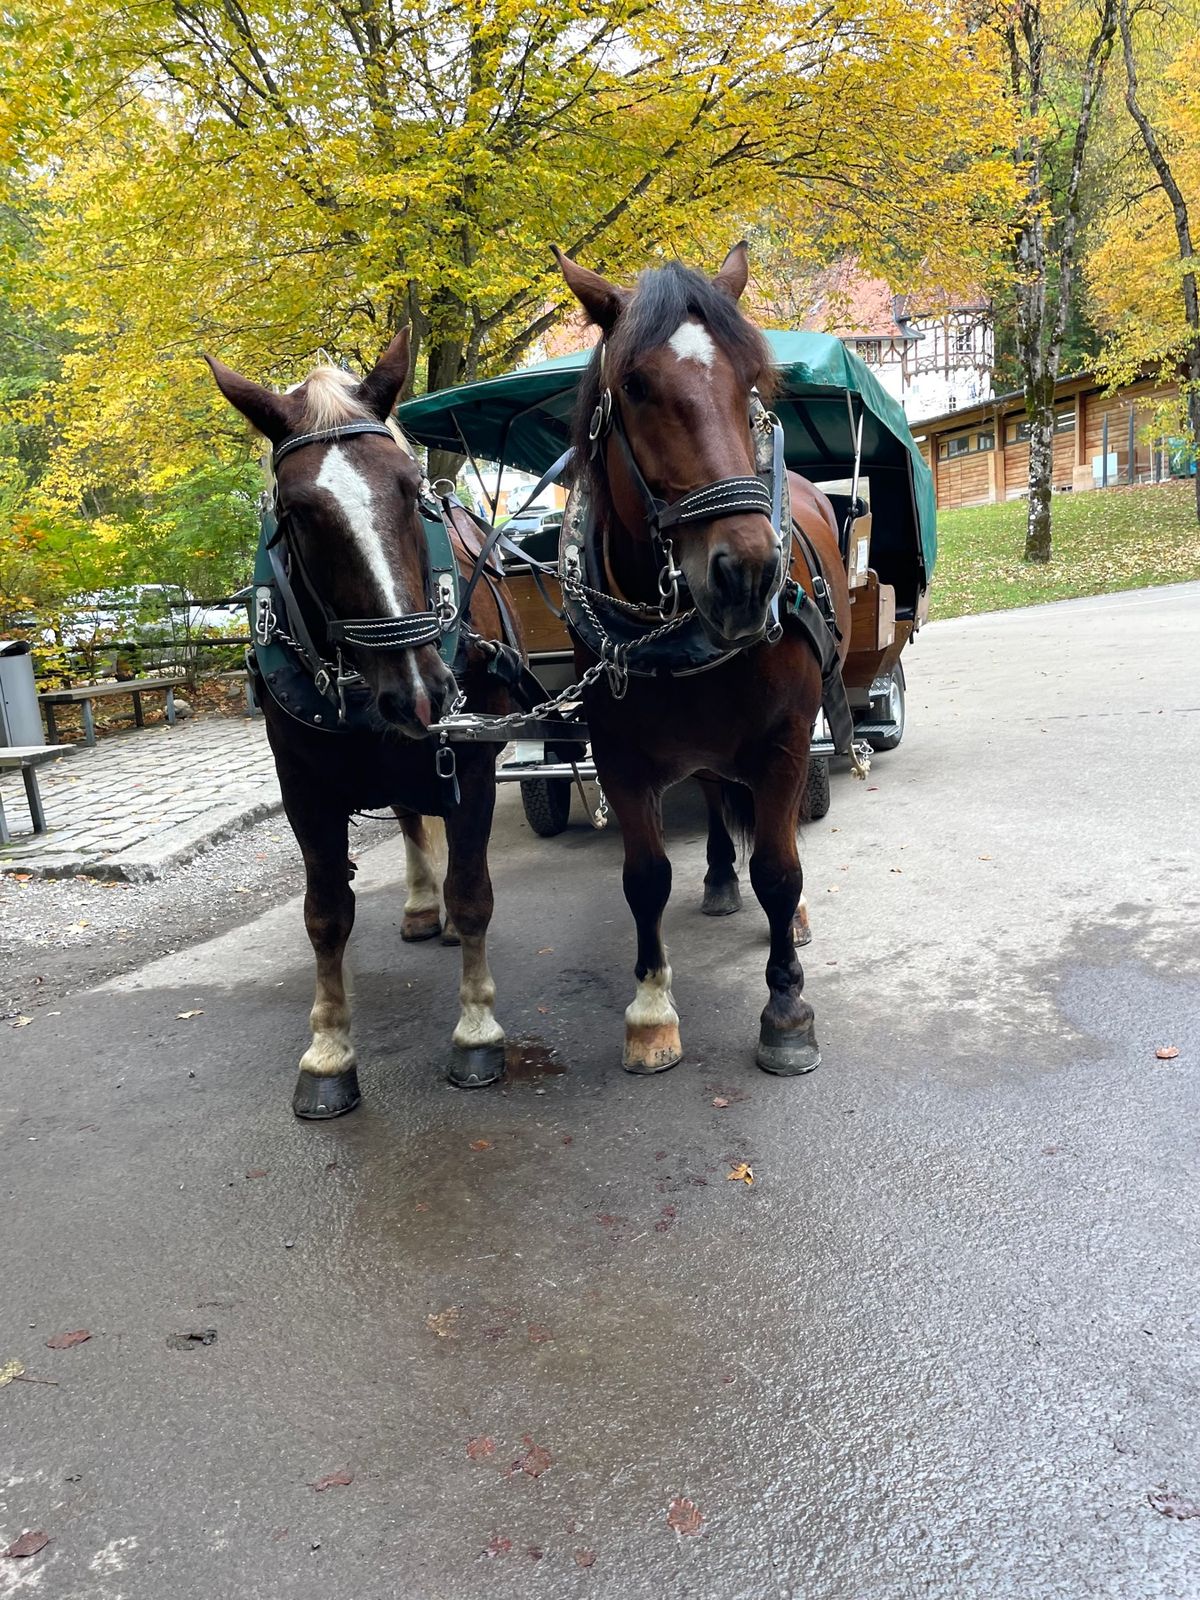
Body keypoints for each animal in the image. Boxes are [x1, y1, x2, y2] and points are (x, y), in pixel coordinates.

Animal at [205, 330, 519, 1116]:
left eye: (411, 489)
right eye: (295, 514)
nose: (419, 692)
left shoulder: (472, 759)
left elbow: (475, 893)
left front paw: (476, 1028)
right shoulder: (304, 789)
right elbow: (325, 914)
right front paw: (328, 1051)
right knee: (409, 816)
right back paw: (421, 905)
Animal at [552, 242, 853, 1077]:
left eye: (751, 379)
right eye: (634, 385)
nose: (747, 573)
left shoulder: (785, 741)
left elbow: (780, 870)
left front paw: (787, 1009)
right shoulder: (618, 756)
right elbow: (645, 878)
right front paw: (651, 1010)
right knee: (719, 797)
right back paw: (718, 877)